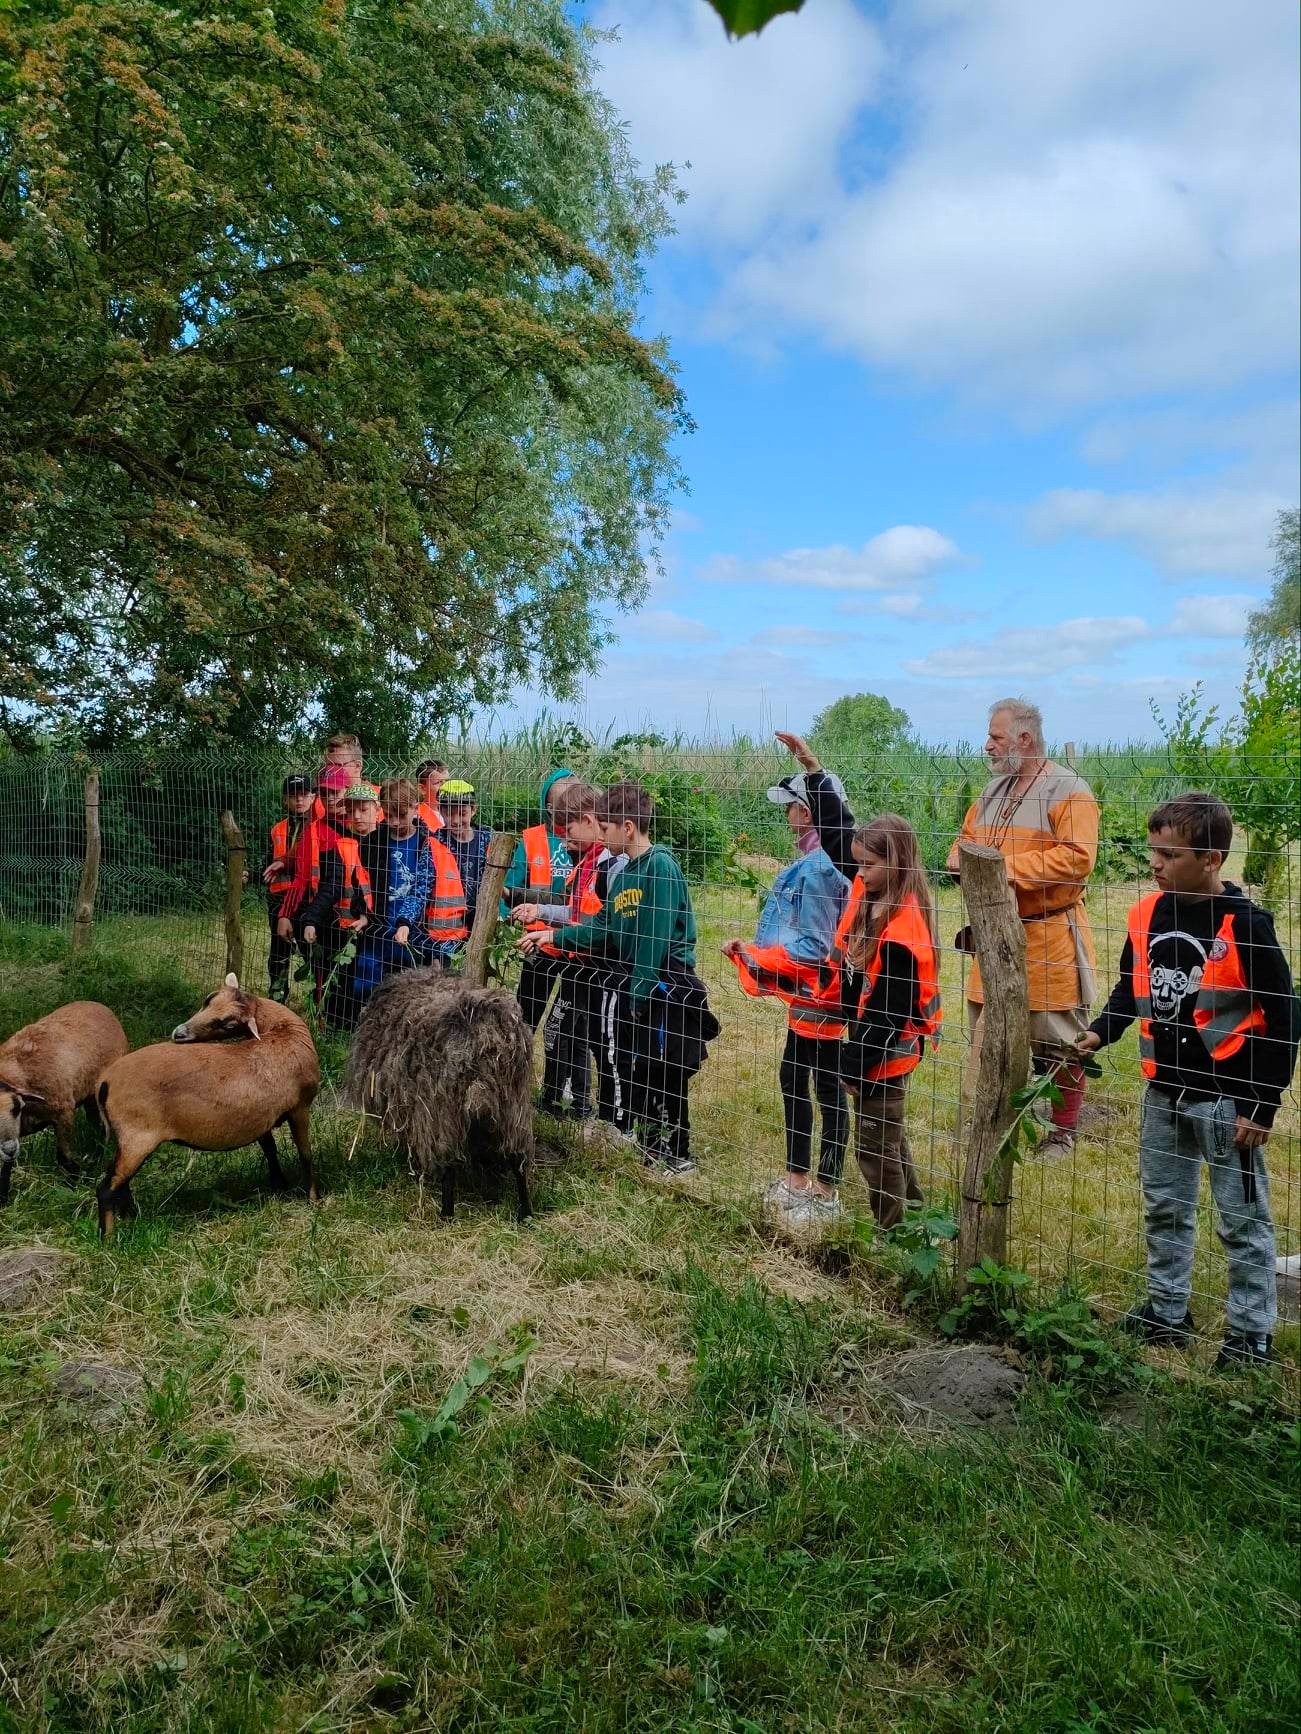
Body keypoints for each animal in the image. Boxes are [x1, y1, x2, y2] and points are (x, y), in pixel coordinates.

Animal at [0, 1005, 128, 1206]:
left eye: (16, 1107)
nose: (9, 1149)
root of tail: (102, 1007)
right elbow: (6, 1166)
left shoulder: (63, 1113)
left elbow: (63, 1157)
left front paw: (73, 1183)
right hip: (90, 1098)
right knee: (98, 1127)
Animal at [343, 971, 537, 1227]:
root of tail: (485, 1037)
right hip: (513, 1106)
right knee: (518, 1159)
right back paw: (525, 1212)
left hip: (443, 1111)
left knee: (449, 1165)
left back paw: (446, 1213)